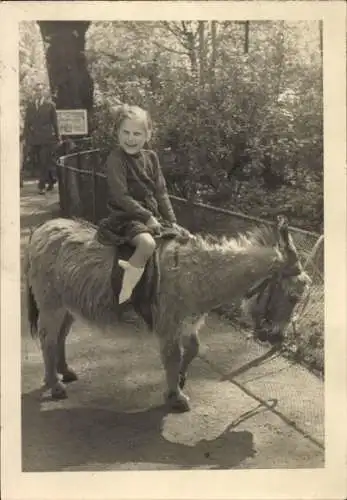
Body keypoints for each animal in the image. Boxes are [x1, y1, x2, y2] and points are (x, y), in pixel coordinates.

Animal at [25, 214, 312, 410]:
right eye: (293, 296)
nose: (277, 338)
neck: (197, 272)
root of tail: (43, 228)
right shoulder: (169, 323)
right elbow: (173, 357)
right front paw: (176, 397)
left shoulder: (187, 321)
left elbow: (192, 350)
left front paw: (181, 380)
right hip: (51, 303)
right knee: (47, 339)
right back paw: (55, 385)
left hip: (68, 306)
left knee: (60, 337)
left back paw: (65, 372)